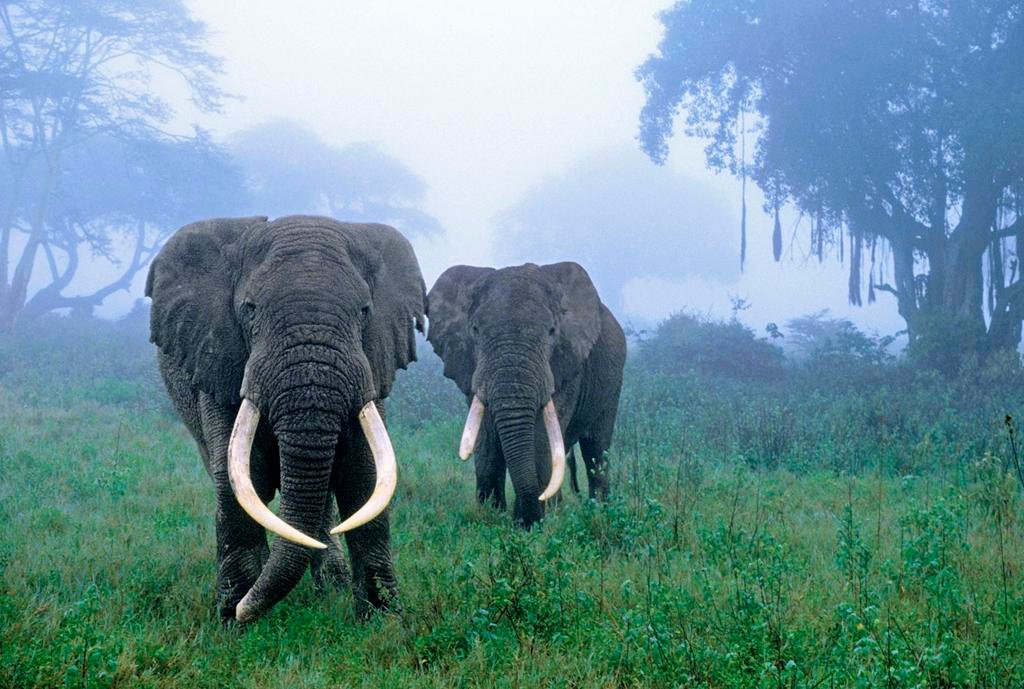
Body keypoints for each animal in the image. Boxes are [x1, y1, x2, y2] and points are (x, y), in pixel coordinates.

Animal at [146, 215, 425, 622]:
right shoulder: (220, 362)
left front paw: (384, 620)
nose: (242, 611)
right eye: (249, 308)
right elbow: (240, 476)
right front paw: (234, 619)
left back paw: (331, 587)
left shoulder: (373, 366)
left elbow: (365, 476)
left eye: (364, 311)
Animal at [426, 262, 626, 527]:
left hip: (612, 384)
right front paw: (491, 518)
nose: (526, 519)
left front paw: (531, 526)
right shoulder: (471, 367)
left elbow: (541, 437)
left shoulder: (567, 364)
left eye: (552, 331)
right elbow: (486, 438)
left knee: (596, 449)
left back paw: (599, 513)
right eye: (475, 330)